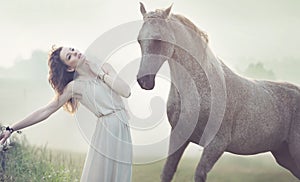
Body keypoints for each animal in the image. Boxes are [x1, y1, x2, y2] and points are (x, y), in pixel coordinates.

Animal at [136, 2, 300, 182]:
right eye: (139, 40)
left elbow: (199, 174)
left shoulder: (216, 145)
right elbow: (167, 172)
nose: (144, 81)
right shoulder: (179, 136)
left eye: (158, 39)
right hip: (284, 155)